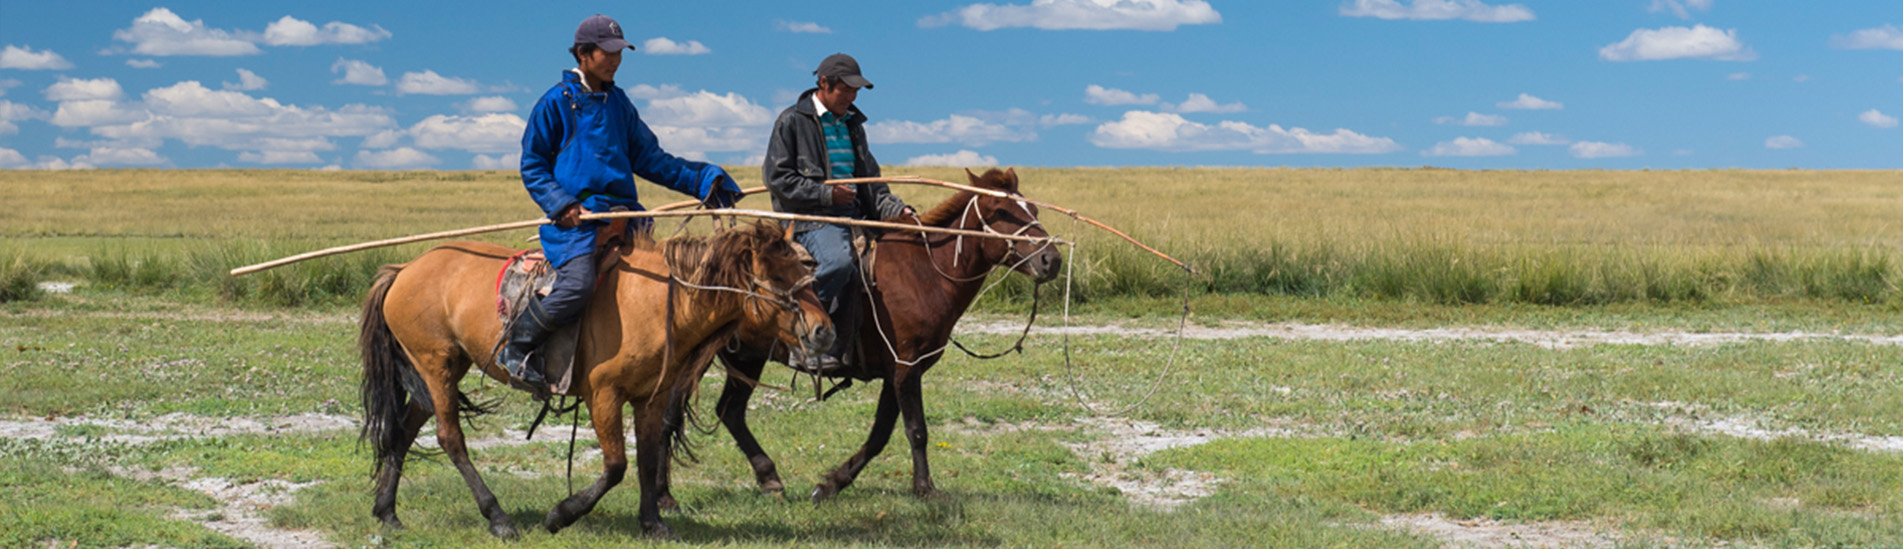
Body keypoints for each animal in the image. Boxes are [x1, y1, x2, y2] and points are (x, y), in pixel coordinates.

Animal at [357, 221, 833, 537]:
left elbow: (646, 461)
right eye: (777, 277)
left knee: (402, 433)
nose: (823, 331)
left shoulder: (651, 397)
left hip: (440, 370)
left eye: (808, 273)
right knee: (449, 438)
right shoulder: (604, 395)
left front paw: (653, 522)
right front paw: (562, 514)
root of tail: (404, 269)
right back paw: (498, 517)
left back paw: (387, 512)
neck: (658, 300)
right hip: (435, 366)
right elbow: (616, 465)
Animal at [688, 169, 1073, 503]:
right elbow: (916, 429)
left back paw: (768, 478)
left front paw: (832, 484)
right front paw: (925, 489)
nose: (1051, 261)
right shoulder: (906, 366)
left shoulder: (897, 371)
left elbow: (880, 434)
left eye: (1033, 209)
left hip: (741, 359)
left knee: (728, 412)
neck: (926, 272)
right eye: (999, 211)